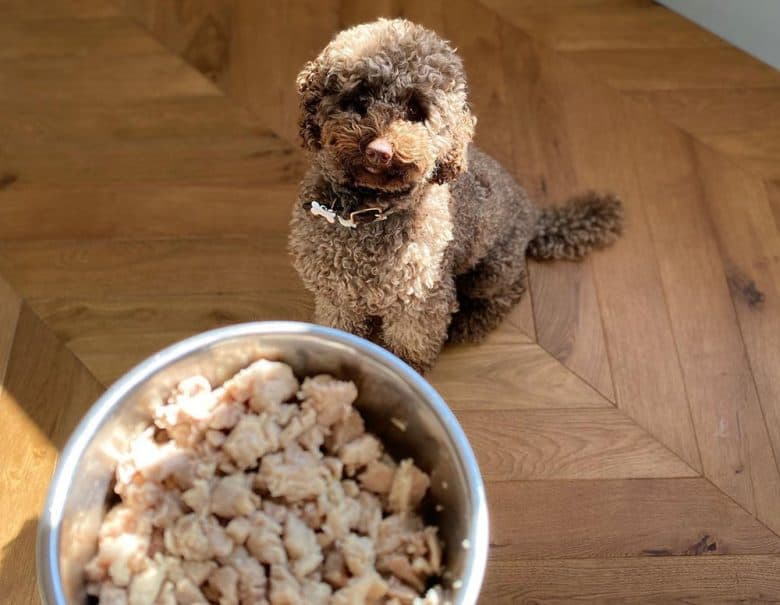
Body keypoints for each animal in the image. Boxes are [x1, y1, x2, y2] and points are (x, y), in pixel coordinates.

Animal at [286, 16, 620, 370]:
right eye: (359, 99)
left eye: (416, 111)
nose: (379, 151)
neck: (367, 212)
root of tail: (534, 215)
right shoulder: (337, 296)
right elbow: (341, 328)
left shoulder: (420, 304)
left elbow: (409, 348)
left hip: (491, 269)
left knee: (511, 289)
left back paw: (470, 321)